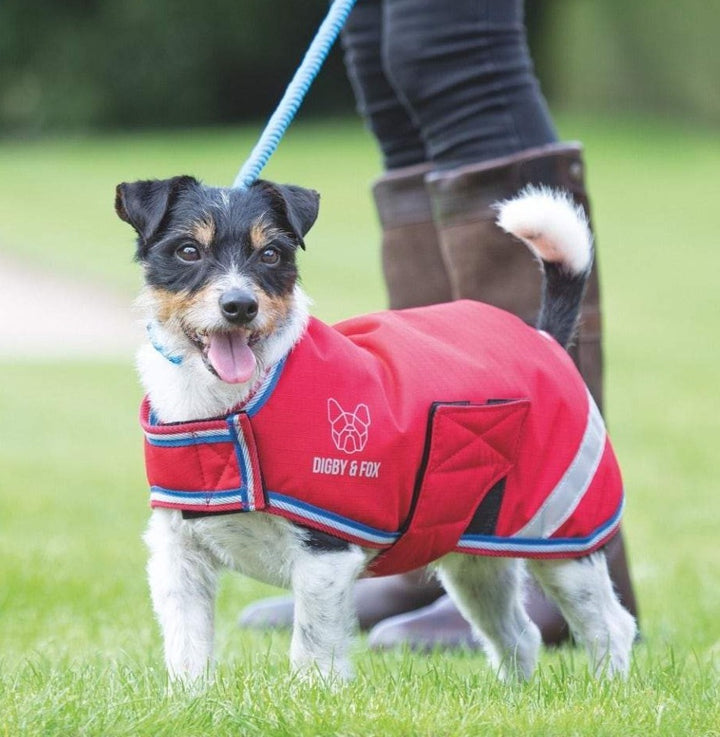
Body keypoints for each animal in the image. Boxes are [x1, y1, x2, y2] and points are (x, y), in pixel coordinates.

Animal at [114, 178, 636, 684]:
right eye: (188, 251)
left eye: (272, 254)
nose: (239, 306)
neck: (226, 405)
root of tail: (547, 339)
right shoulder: (178, 558)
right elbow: (187, 648)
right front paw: (191, 699)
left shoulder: (323, 557)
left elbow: (313, 647)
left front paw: (312, 697)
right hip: (477, 560)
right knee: (519, 635)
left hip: (564, 538)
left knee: (610, 626)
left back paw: (604, 691)